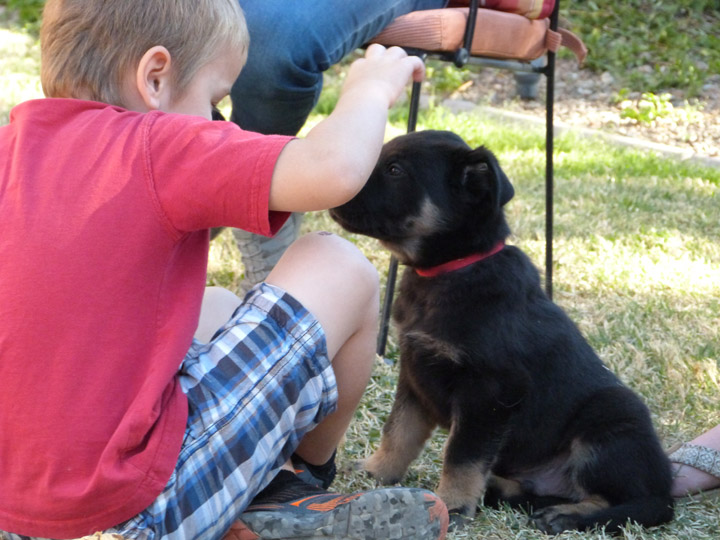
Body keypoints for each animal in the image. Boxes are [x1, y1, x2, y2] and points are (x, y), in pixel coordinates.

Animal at [332, 130, 676, 532]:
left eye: (395, 170)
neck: (454, 269)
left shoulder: (489, 391)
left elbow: (461, 455)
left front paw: (451, 505)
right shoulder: (415, 369)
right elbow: (399, 431)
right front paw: (376, 472)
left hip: (613, 420)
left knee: (636, 502)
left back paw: (566, 514)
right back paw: (504, 490)